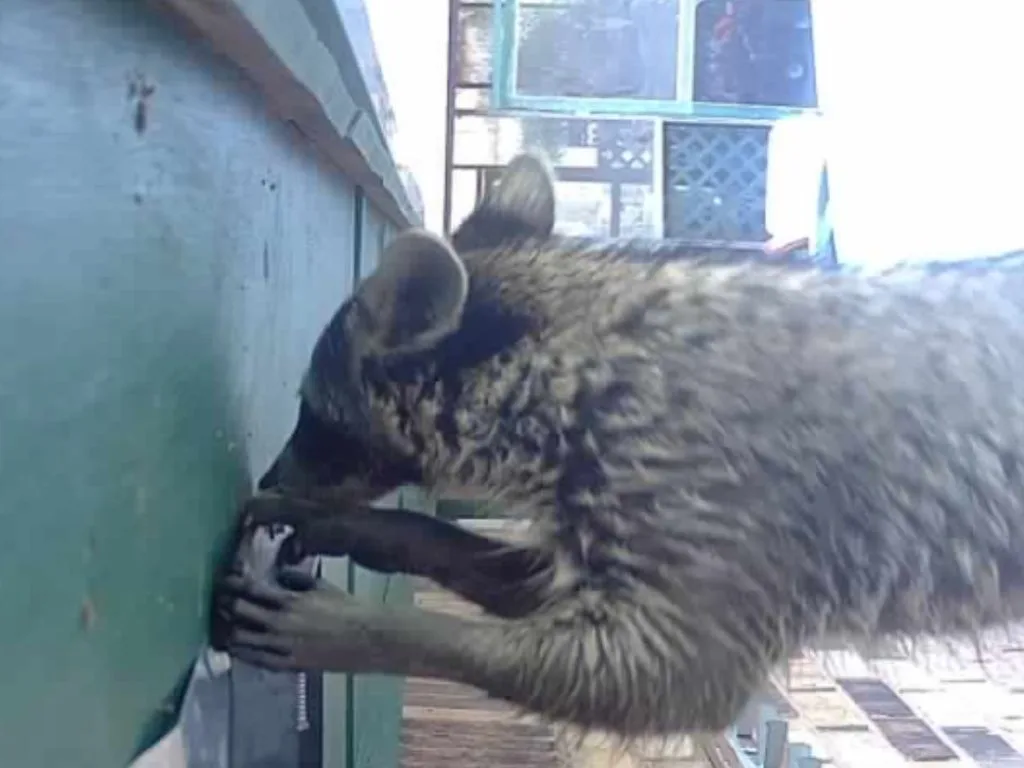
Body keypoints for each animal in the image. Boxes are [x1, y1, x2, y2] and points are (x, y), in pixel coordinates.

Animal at [214, 153, 1024, 738]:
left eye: (310, 412)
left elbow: (668, 679)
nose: (271, 475)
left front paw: (378, 631)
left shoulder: (722, 509)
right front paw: (378, 527)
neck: (571, 352)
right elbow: (518, 576)